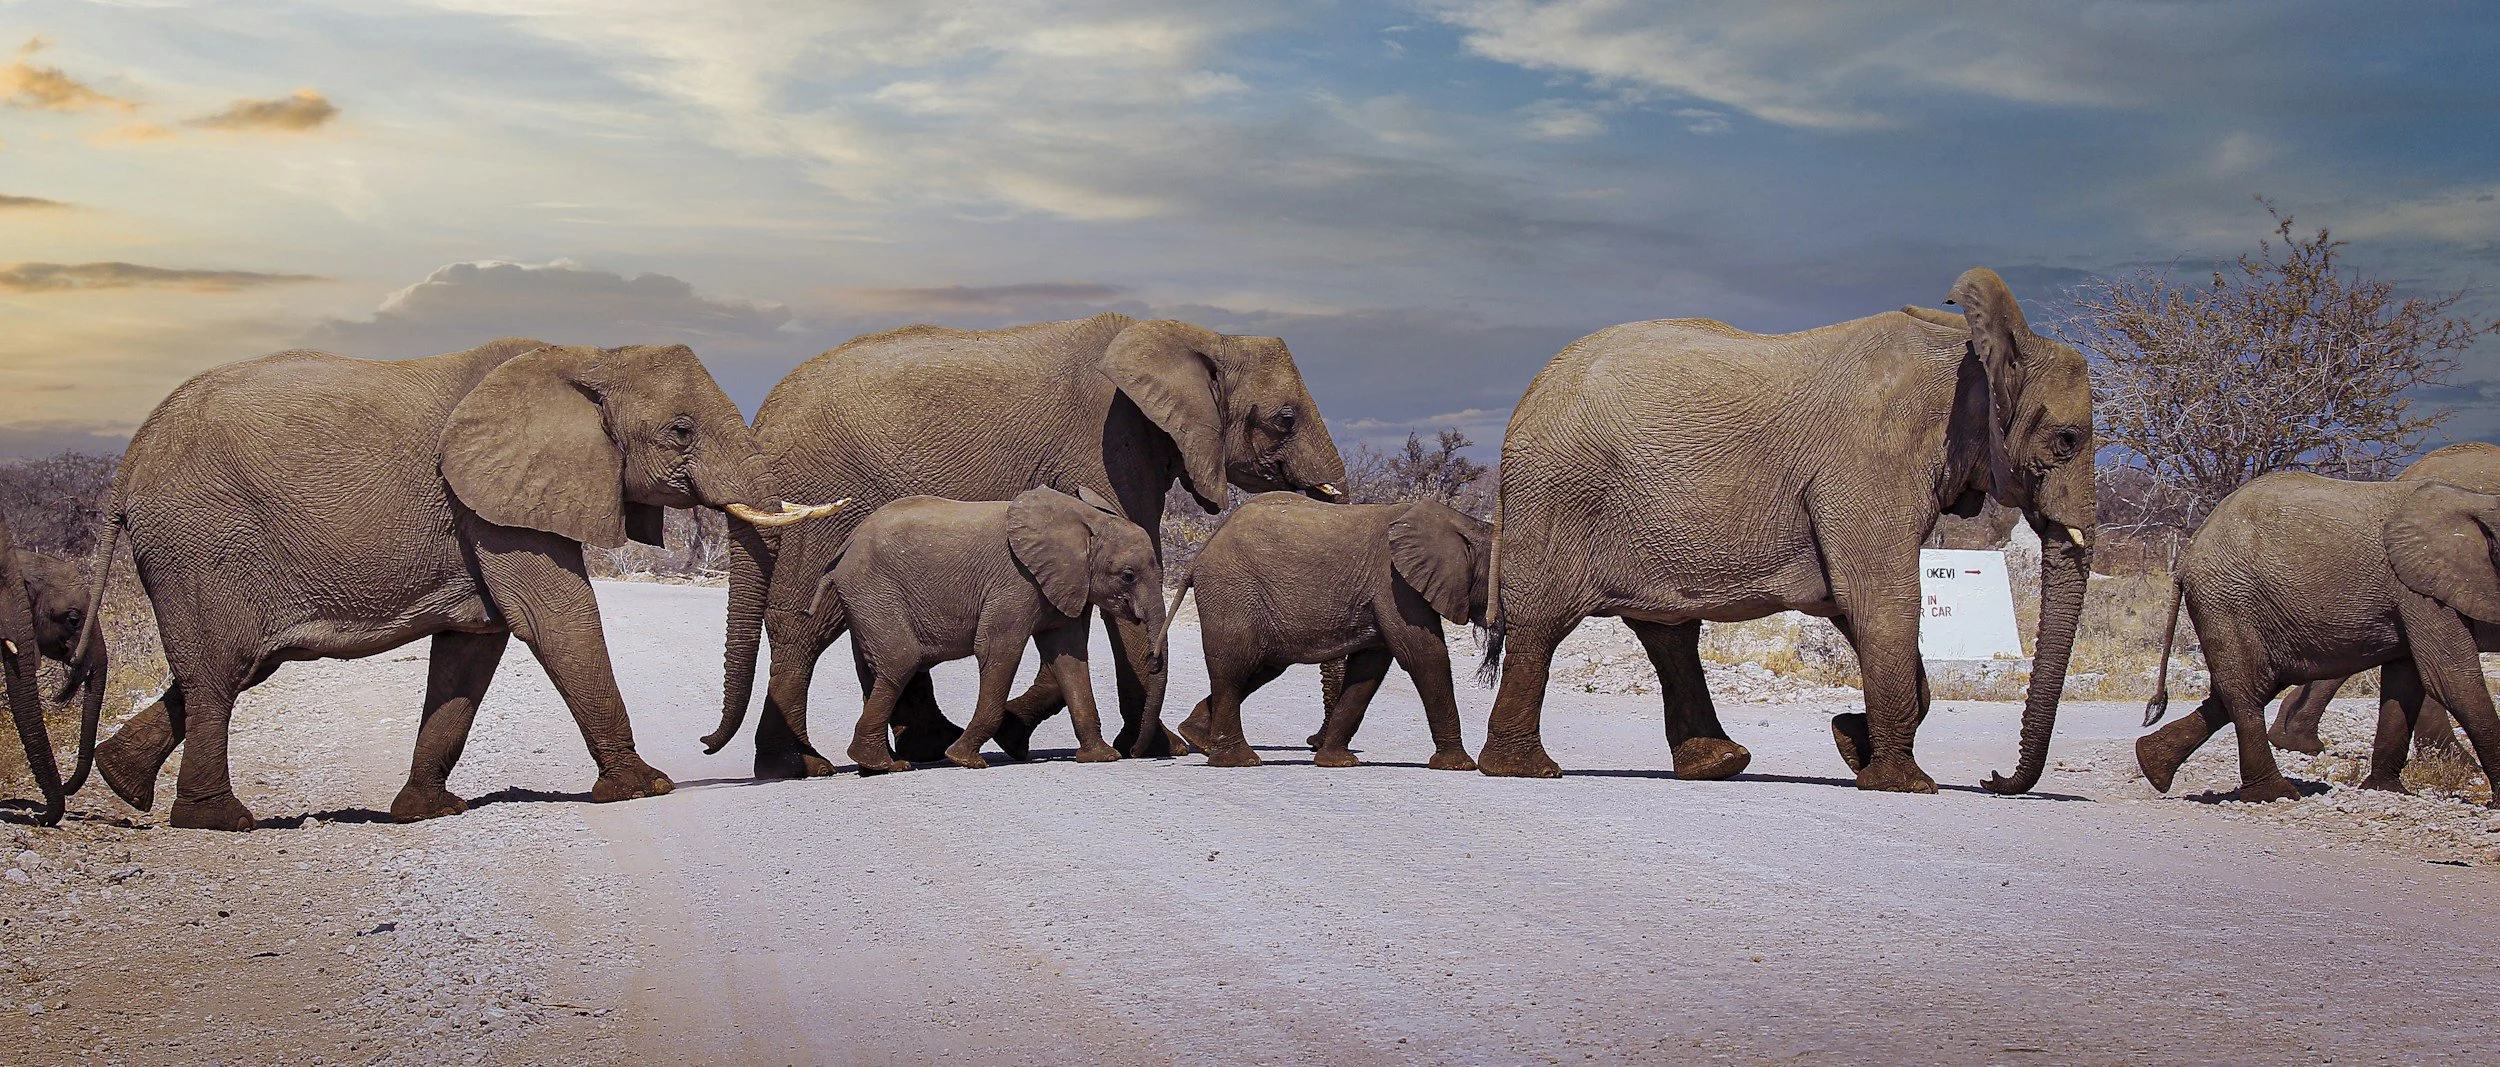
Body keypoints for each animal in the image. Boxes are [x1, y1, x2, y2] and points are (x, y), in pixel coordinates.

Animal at [84, 339, 842, 831]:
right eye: (682, 430)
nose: (709, 746)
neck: (589, 356)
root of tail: (129, 461)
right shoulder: (490, 504)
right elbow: (555, 616)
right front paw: (645, 788)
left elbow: (475, 645)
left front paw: (426, 811)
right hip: (200, 542)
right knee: (221, 672)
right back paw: (220, 821)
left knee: (232, 668)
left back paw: (122, 783)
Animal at [798, 487, 1165, 773]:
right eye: (1128, 576)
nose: (1135, 753)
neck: (1086, 519)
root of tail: (842, 551)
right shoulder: (1016, 583)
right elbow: (999, 651)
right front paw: (965, 760)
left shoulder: (1067, 585)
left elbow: (1070, 659)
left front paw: (1101, 758)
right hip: (873, 591)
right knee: (900, 661)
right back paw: (883, 764)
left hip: (864, 599)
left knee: (873, 669)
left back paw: (875, 765)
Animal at [1159, 493, 1487, 771]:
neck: (1462, 523)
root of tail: (1202, 550)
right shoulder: (1395, 583)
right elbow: (1424, 655)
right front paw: (1459, 766)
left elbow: (1369, 669)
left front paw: (1336, 762)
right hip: (1231, 589)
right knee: (1234, 667)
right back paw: (1239, 761)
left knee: (1259, 667)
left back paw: (1197, 737)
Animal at [1476, 268, 2096, 793]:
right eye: (2067, 440)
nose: (1994, 779)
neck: (1973, 349)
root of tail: (1526, 399)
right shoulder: (1870, 464)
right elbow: (1880, 599)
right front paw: (1903, 783)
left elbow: (1854, 605)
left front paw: (1851, 742)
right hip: (1559, 495)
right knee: (1543, 626)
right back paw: (1525, 771)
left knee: (1669, 634)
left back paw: (1719, 766)